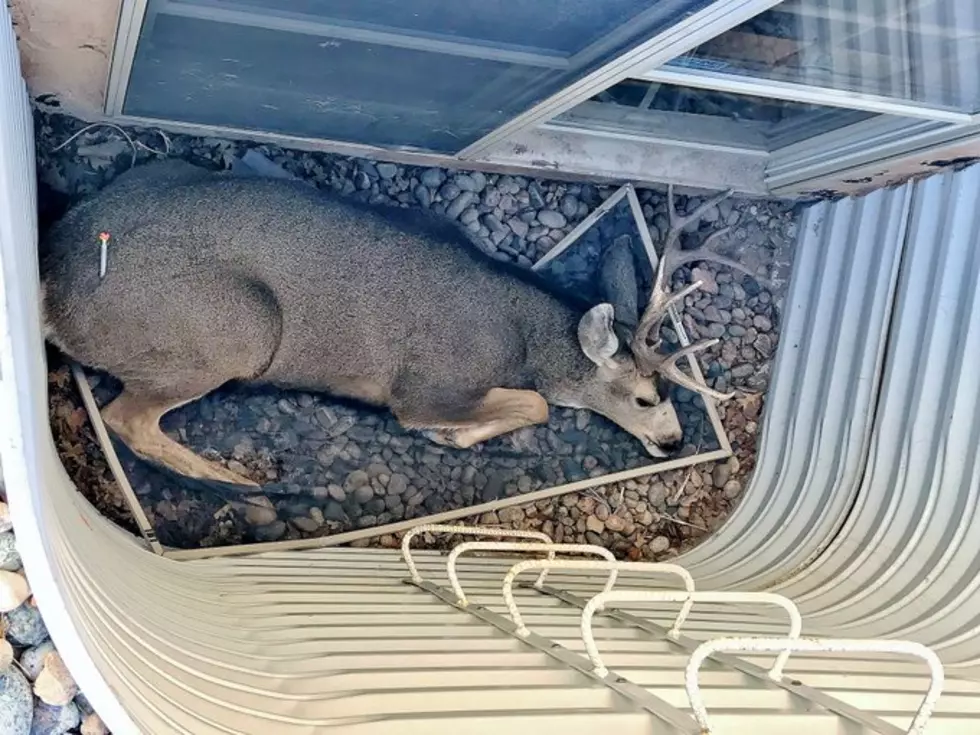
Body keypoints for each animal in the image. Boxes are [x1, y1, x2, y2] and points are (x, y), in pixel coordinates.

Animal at [40, 163, 756, 492]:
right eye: (645, 395)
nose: (672, 440)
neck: (522, 336)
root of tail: (54, 281)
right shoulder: (429, 382)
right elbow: (535, 405)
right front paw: (452, 435)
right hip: (234, 330)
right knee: (128, 418)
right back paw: (242, 482)